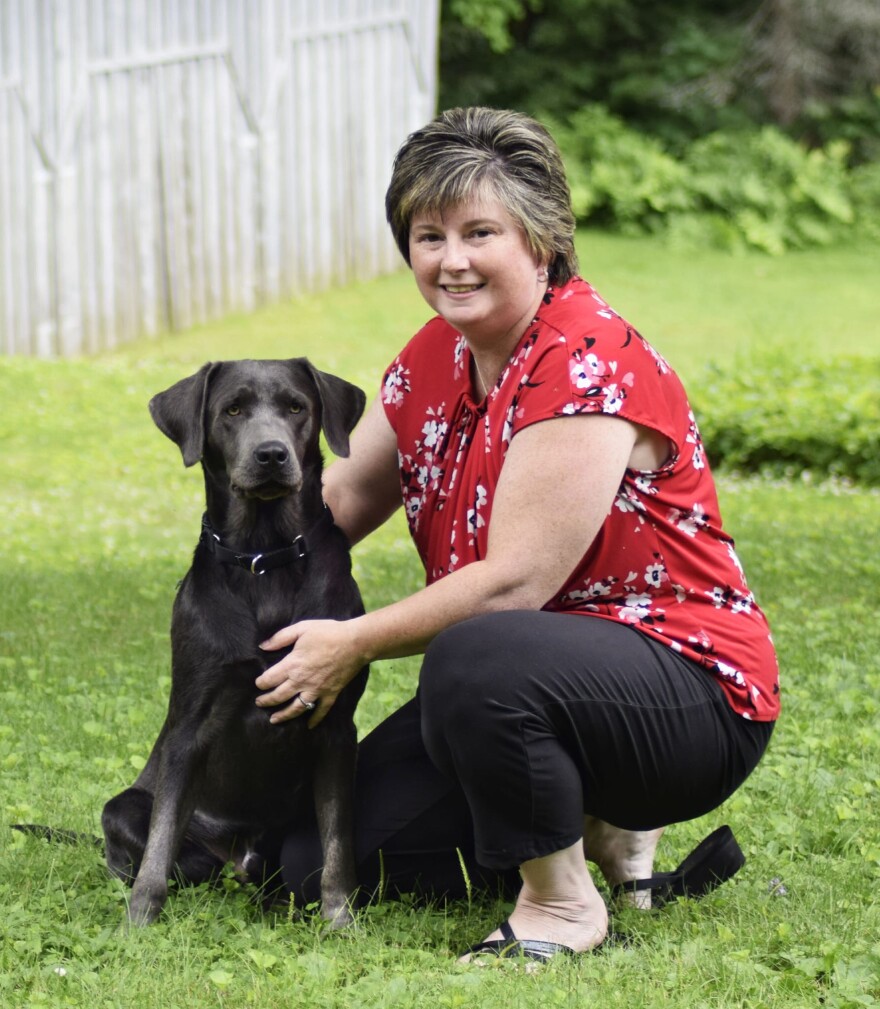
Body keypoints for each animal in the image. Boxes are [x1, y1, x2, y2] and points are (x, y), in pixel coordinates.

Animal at [100, 359, 367, 924]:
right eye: (233, 410)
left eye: (296, 407)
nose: (271, 454)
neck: (264, 557)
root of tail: (236, 859)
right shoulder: (189, 722)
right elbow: (161, 839)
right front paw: (139, 922)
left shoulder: (336, 726)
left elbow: (337, 842)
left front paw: (340, 919)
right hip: (124, 807)